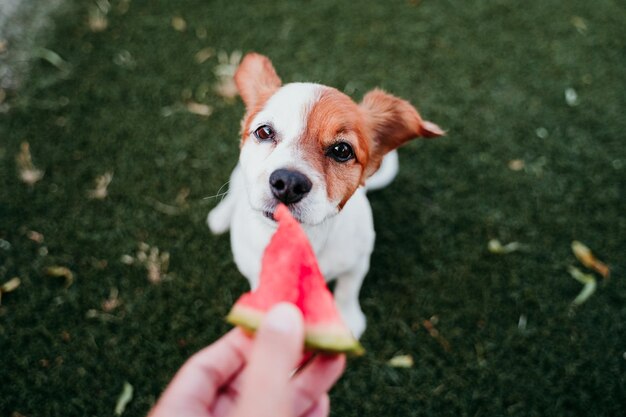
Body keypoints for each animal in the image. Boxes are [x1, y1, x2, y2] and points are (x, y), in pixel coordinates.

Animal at [207, 52, 442, 338]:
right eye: (264, 132)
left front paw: (347, 320)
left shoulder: (358, 261)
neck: (307, 237)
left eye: (342, 150)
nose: (288, 183)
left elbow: (348, 290)